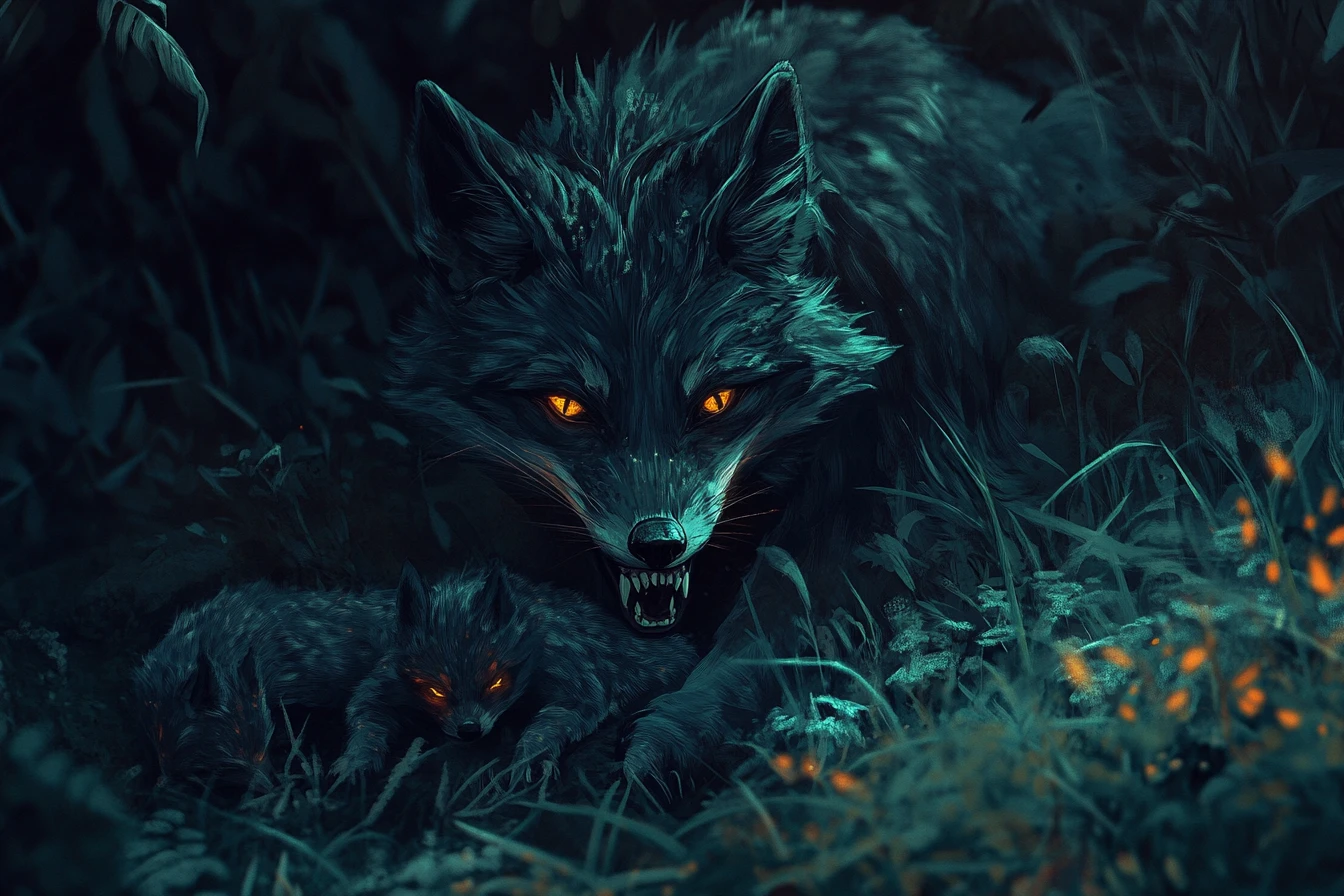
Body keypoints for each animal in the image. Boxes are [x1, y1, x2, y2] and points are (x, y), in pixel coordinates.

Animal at [331, 561, 698, 785]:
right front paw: (356, 760)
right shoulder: (385, 683)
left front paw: (528, 760)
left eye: (496, 683)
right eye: (434, 692)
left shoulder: (578, 682)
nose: (469, 730)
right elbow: (364, 718)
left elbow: (546, 729)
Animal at [385, 6, 1135, 788]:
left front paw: (669, 737)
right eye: (569, 409)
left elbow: (775, 627)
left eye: (717, 402)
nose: (658, 543)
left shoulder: (916, 490)